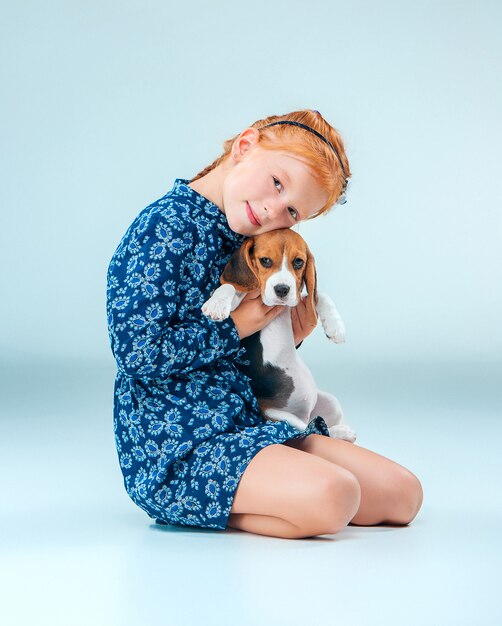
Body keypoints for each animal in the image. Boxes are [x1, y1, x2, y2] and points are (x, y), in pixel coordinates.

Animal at [201, 227, 356, 442]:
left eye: (298, 262)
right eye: (265, 260)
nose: (282, 289)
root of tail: (303, 413)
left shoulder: (297, 303)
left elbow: (318, 296)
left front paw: (335, 327)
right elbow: (229, 286)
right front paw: (216, 305)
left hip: (331, 403)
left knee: (317, 424)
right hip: (277, 416)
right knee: (312, 428)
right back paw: (341, 432)